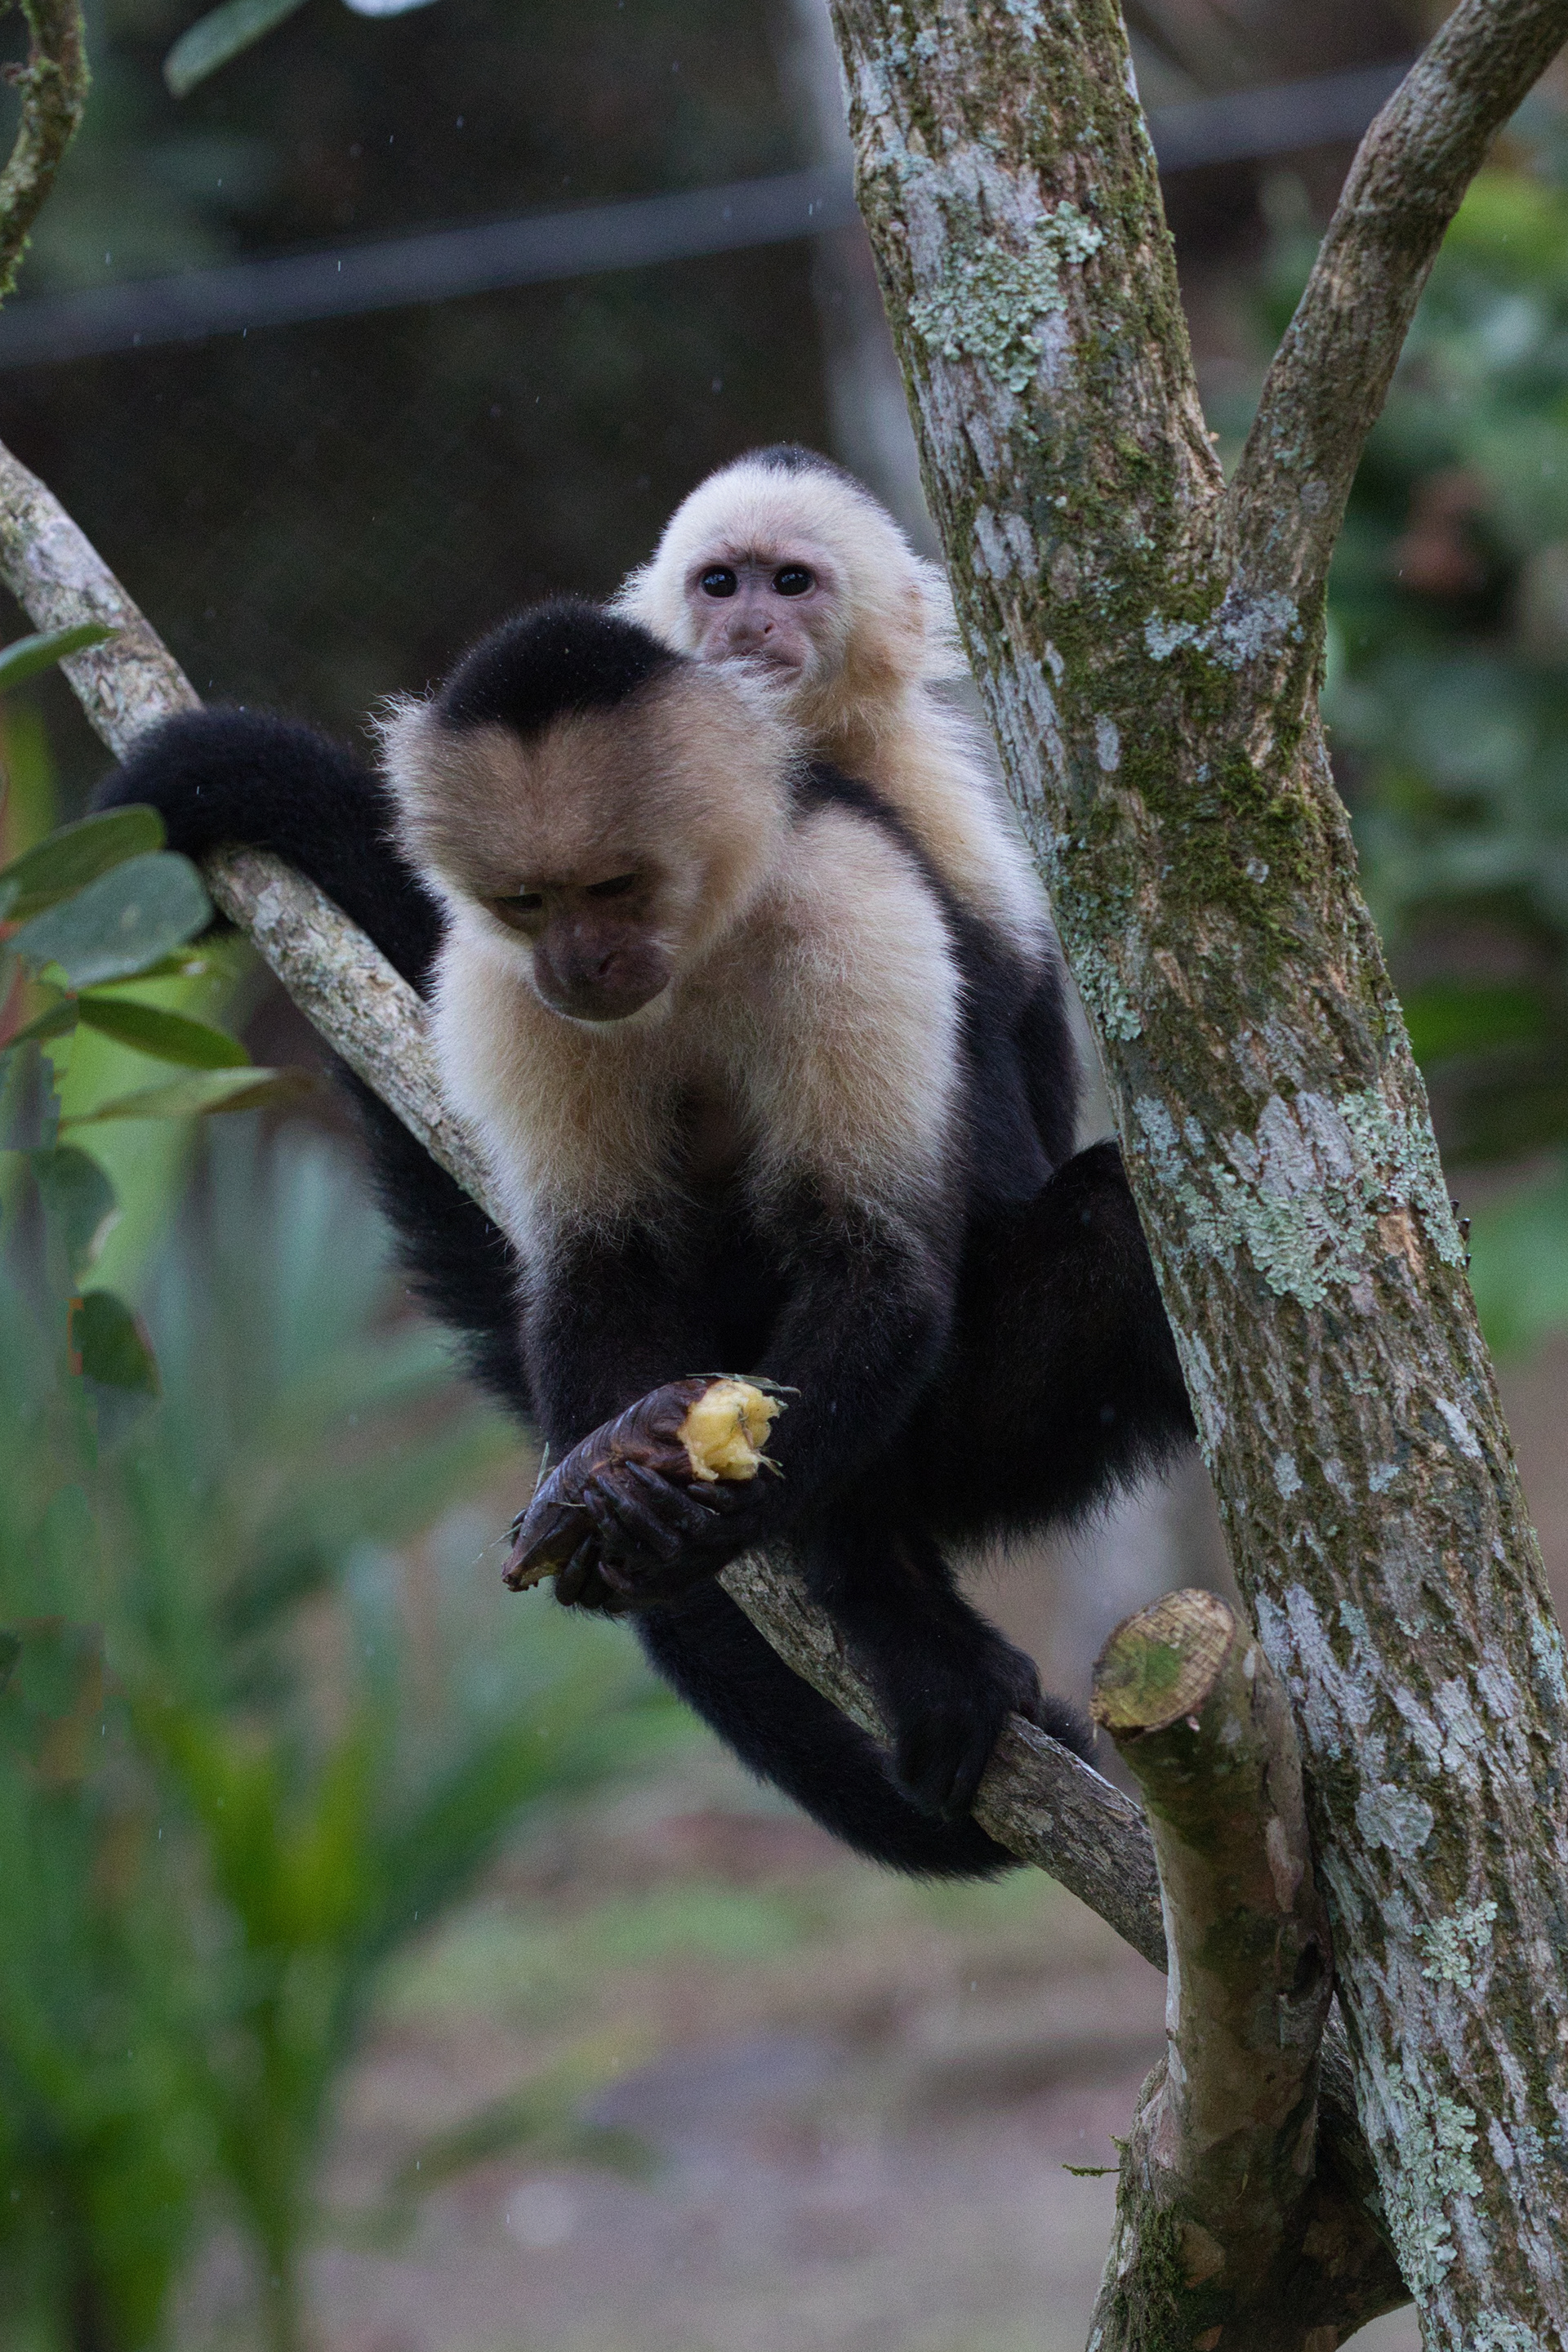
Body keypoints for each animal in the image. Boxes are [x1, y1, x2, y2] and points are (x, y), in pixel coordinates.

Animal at [96, 598, 1193, 1886]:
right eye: (529, 901)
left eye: (614, 885)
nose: (578, 964)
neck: (700, 948)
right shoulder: (499, 986)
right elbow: (599, 1265)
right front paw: (611, 1492)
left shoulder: (846, 893)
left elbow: (874, 1251)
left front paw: (701, 1519)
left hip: (978, 1432)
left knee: (1111, 1239)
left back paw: (867, 1577)